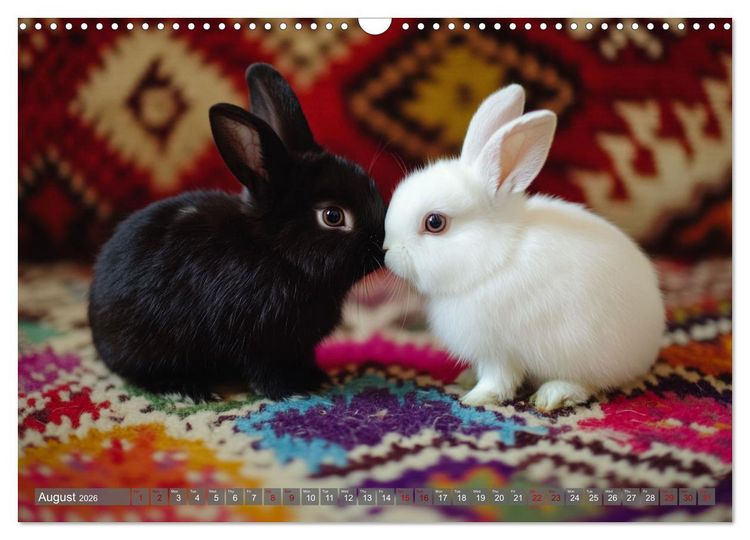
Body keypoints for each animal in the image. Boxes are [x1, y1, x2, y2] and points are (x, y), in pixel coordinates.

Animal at [88, 64, 386, 401]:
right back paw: (188, 390)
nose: (383, 245)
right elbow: (265, 373)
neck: (276, 253)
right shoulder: (260, 341)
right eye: (333, 216)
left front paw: (316, 378)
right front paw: (291, 392)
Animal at [383, 84, 665, 411]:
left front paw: (475, 397)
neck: (493, 261)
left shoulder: (498, 350)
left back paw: (552, 396)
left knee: (587, 384)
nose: (387, 251)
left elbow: (498, 380)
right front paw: (467, 380)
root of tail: (648, 343)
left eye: (435, 222)